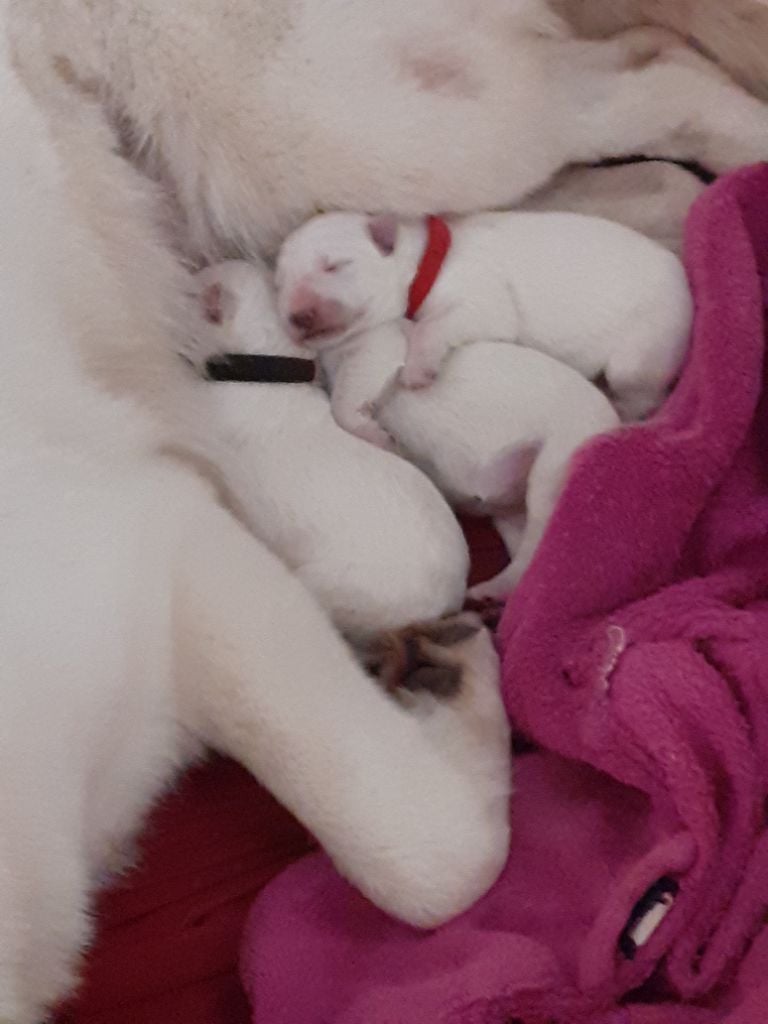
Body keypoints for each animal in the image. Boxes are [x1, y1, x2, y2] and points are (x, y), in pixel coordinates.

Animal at [278, 209, 696, 421]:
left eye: (334, 265)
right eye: (281, 283)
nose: (297, 317)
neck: (424, 260)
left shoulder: (483, 296)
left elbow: (434, 325)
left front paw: (417, 369)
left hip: (643, 350)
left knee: (642, 395)